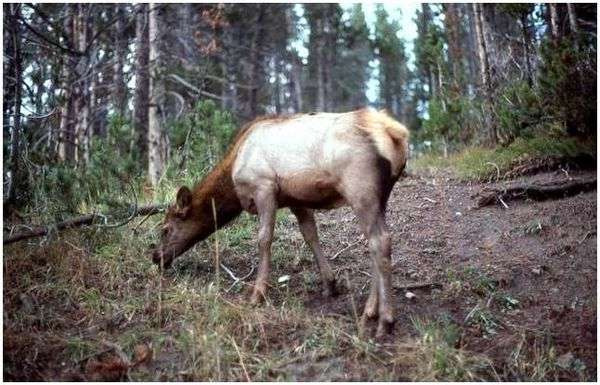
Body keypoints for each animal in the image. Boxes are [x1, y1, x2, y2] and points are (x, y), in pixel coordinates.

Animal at [149, 108, 408, 332]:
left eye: (165, 229)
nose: (156, 257)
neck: (233, 178)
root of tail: (395, 135)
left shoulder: (264, 187)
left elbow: (264, 239)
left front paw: (257, 294)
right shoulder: (296, 199)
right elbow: (310, 234)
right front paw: (329, 284)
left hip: (359, 189)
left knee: (380, 241)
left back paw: (385, 320)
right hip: (381, 195)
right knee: (374, 243)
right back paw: (370, 311)